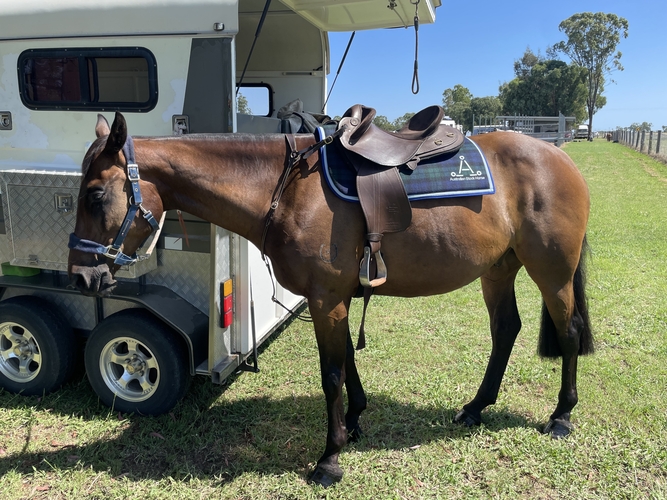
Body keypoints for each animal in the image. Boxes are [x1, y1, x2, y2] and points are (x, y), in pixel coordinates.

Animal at [68, 112, 592, 487]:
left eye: (94, 195)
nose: (81, 275)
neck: (289, 190)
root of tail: (560, 159)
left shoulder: (326, 300)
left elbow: (332, 375)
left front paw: (330, 458)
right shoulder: (336, 298)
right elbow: (346, 367)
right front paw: (354, 422)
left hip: (553, 273)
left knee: (568, 331)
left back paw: (562, 415)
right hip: (499, 269)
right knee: (505, 331)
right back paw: (477, 407)